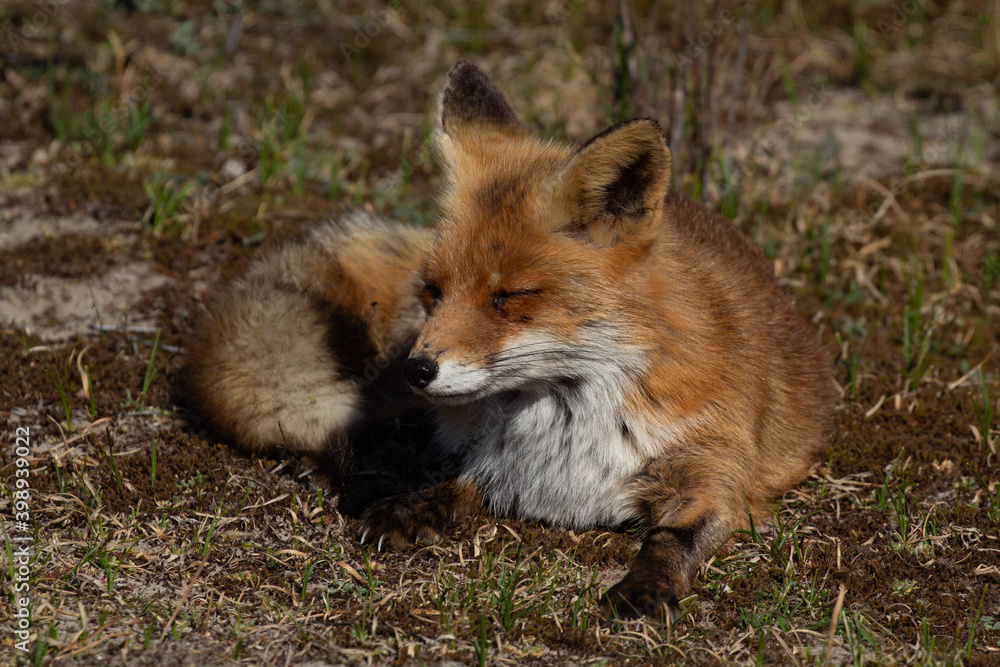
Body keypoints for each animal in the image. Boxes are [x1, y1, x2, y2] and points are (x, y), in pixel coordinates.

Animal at [186, 62, 836, 620]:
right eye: (434, 291)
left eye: (509, 296)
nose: (419, 370)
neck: (570, 419)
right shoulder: (493, 457)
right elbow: (457, 480)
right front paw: (413, 505)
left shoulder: (716, 471)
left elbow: (674, 539)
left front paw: (646, 589)